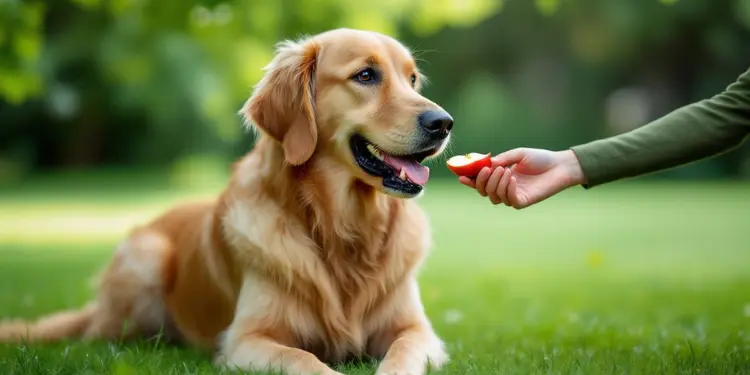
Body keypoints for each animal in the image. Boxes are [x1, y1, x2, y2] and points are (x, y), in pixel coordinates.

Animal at [0, 27, 456, 374]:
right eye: (365, 75)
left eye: (412, 80)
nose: (443, 123)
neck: (343, 229)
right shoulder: (247, 340)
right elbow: (304, 359)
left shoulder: (416, 331)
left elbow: (401, 354)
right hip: (145, 258)